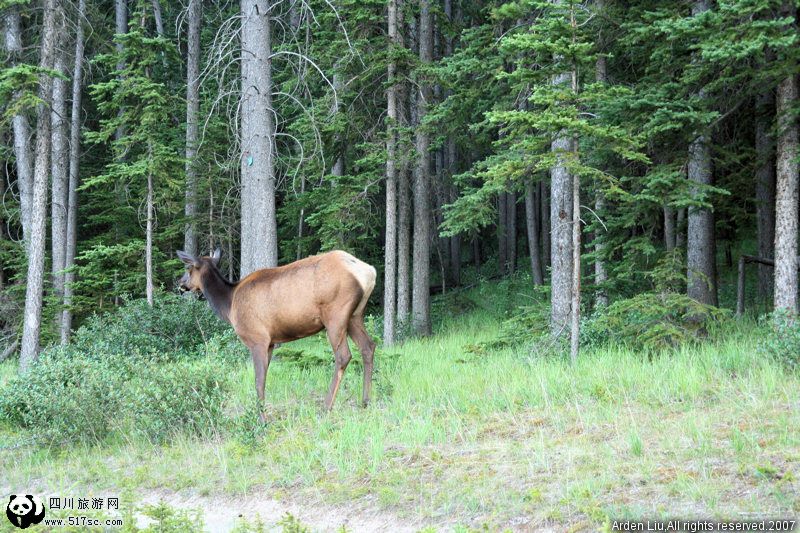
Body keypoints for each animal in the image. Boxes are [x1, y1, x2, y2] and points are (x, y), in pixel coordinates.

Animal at [178, 246, 378, 420]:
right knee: (368, 346)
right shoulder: (271, 343)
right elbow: (265, 379)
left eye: (188, 268)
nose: (180, 283)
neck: (229, 305)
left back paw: (326, 406)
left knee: (343, 355)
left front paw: (261, 419)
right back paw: (365, 401)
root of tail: (369, 271)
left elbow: (258, 381)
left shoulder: (257, 339)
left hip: (335, 315)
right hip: (355, 315)